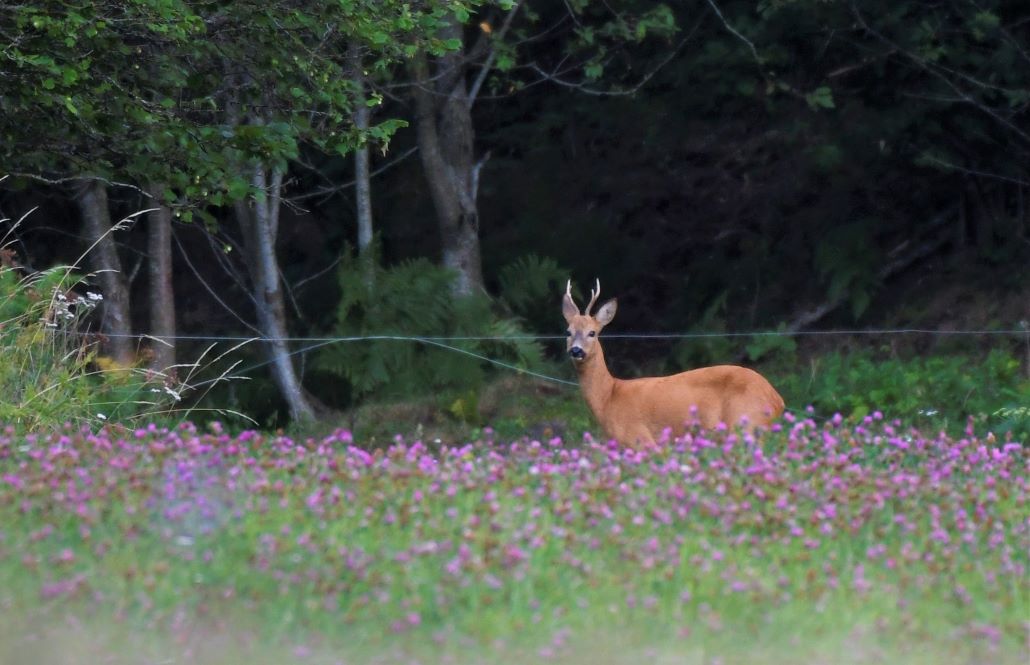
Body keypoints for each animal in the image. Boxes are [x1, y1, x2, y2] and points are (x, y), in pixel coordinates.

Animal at [564, 277, 778, 450]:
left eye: (592, 332)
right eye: (568, 331)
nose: (576, 350)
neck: (609, 397)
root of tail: (777, 400)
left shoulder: (639, 438)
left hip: (746, 423)